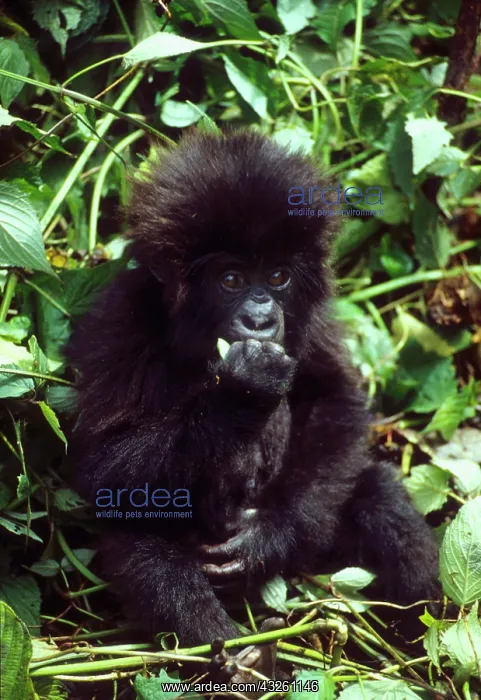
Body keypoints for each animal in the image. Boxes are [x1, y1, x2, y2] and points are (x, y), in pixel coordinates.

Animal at [67, 129, 439, 649]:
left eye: (278, 276)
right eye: (231, 279)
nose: (261, 319)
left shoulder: (312, 318)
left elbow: (332, 399)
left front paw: (273, 534)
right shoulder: (120, 318)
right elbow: (102, 463)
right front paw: (239, 394)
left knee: (377, 490)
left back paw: (424, 632)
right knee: (141, 544)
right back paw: (225, 649)